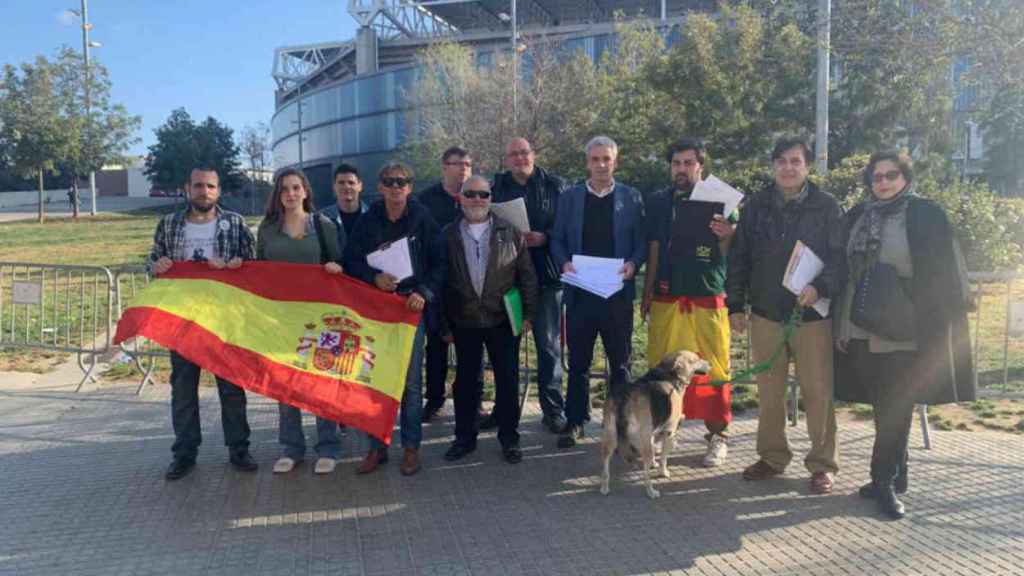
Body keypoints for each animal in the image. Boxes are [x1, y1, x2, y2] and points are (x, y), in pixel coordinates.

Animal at [598, 348, 712, 496]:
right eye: (695, 360)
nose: (710, 364)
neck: (669, 374)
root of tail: (625, 396)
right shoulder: (669, 431)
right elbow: (663, 457)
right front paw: (663, 472)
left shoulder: (653, 432)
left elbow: (654, 448)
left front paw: (654, 464)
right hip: (642, 439)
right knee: (646, 472)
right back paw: (651, 491)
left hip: (610, 435)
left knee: (605, 460)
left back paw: (604, 487)